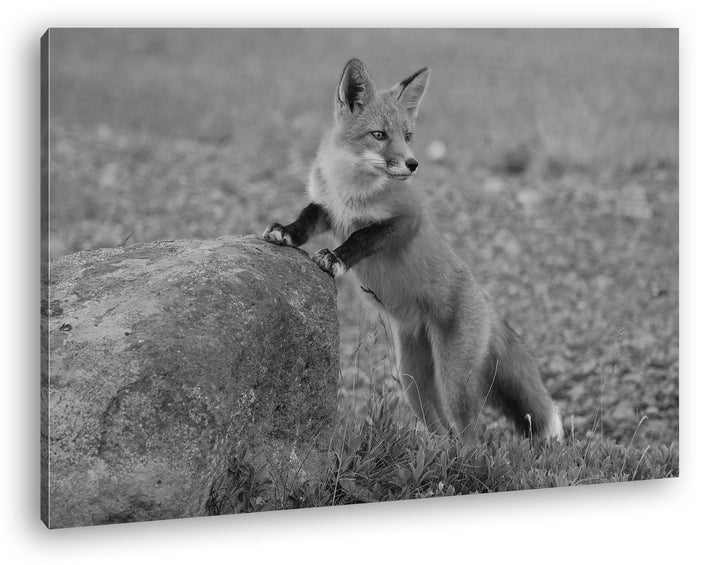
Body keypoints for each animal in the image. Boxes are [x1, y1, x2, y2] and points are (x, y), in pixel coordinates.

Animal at [262, 58, 563, 442]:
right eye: (379, 135)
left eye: (407, 136)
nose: (413, 164)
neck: (351, 187)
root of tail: (485, 302)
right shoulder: (328, 209)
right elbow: (305, 218)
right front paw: (285, 233)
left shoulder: (407, 219)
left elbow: (363, 237)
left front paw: (336, 258)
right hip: (411, 380)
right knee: (442, 429)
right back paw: (436, 453)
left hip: (453, 381)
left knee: (469, 436)